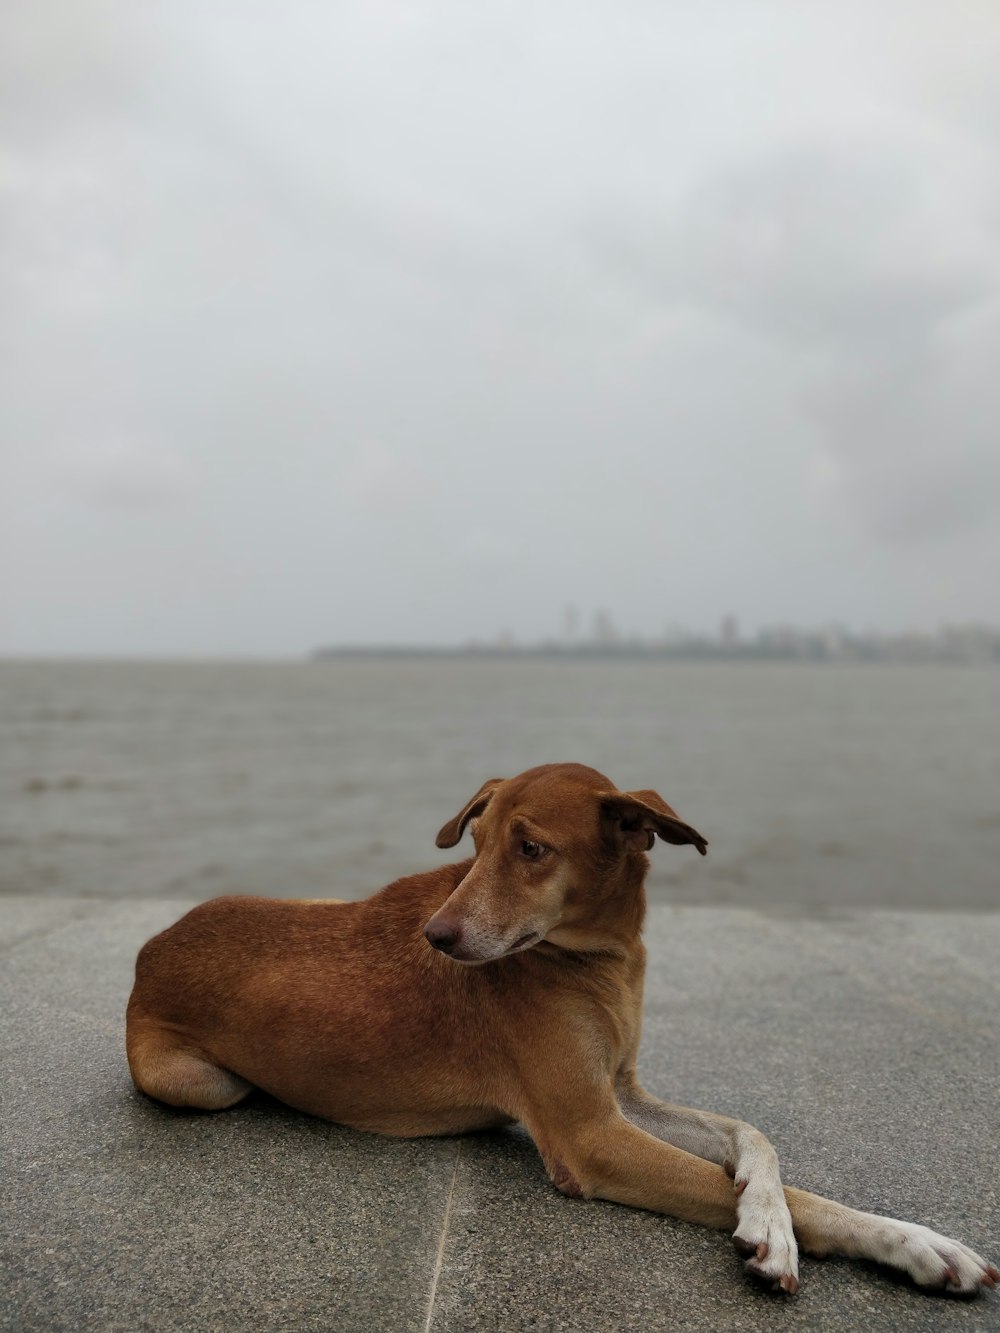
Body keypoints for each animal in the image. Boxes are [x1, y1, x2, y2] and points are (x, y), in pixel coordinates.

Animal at [129, 767, 997, 1295]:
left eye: (532, 849)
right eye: (476, 846)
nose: (433, 936)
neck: (600, 960)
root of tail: (147, 948)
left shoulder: (620, 1094)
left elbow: (754, 1136)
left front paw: (781, 1207)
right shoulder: (591, 1135)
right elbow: (800, 1200)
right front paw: (797, 1235)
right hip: (197, 1081)